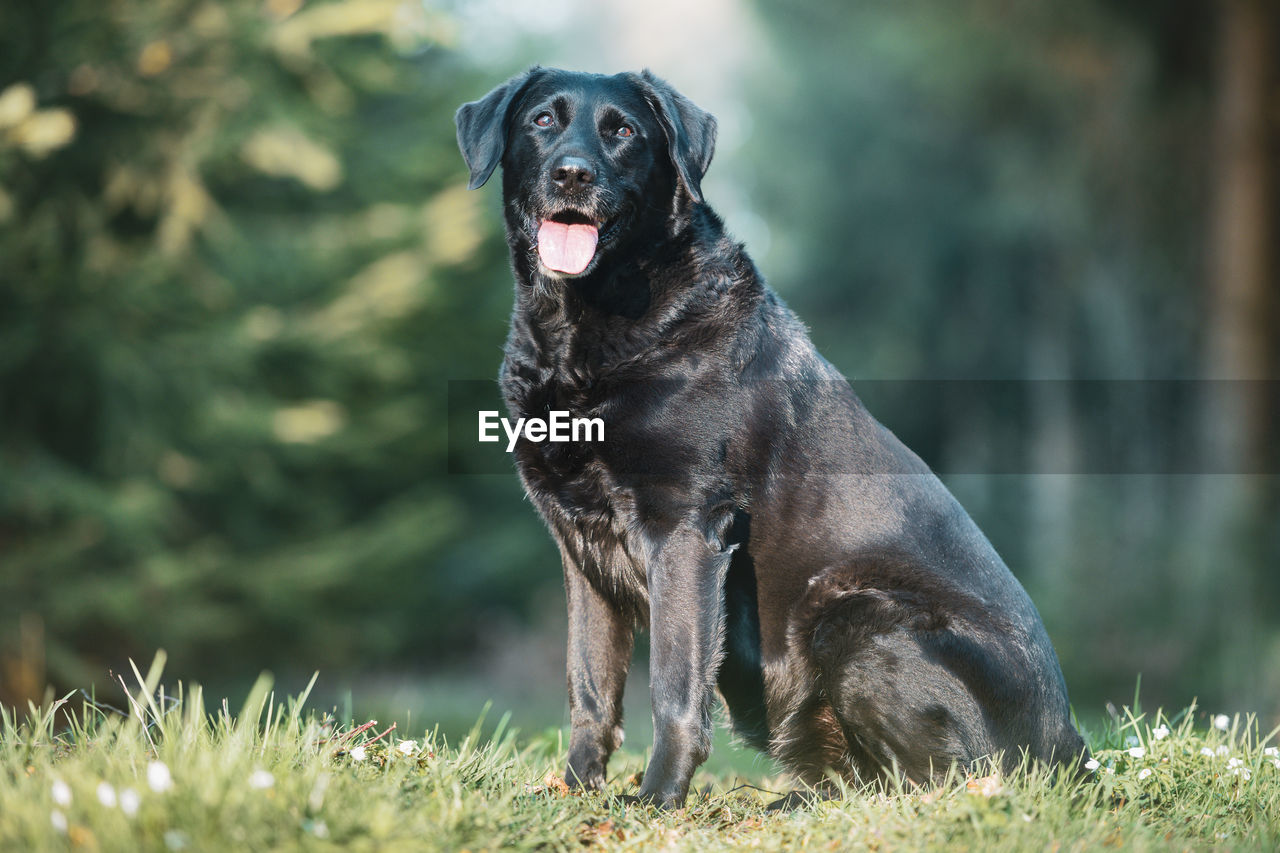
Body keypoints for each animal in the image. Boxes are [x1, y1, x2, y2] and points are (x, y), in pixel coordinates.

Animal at [455, 66, 1085, 804]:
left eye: (624, 131)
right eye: (543, 122)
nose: (573, 173)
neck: (587, 330)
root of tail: (1073, 748)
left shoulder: (687, 530)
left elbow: (674, 688)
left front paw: (656, 802)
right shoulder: (582, 552)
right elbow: (590, 689)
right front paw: (577, 793)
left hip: (855, 613)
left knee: (944, 781)